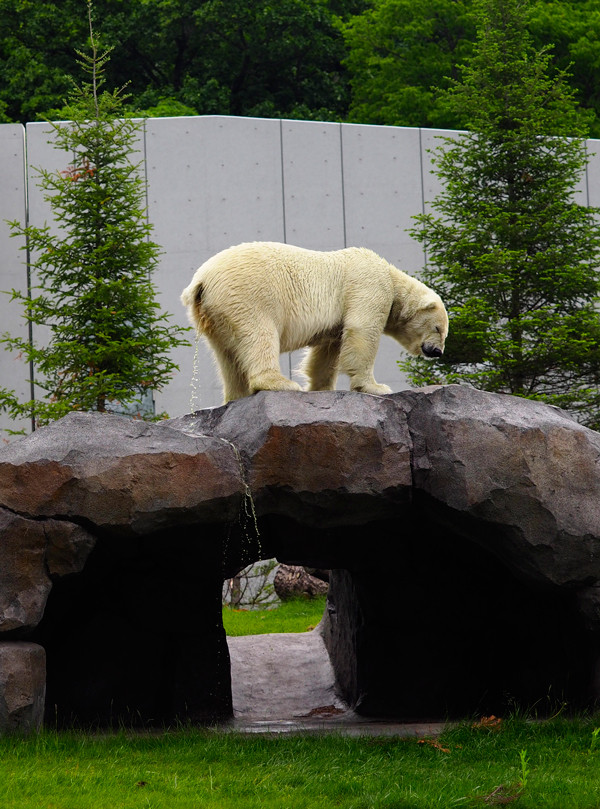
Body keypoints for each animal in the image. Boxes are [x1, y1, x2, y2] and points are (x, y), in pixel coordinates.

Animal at [180, 241, 448, 402]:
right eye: (438, 328)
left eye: (444, 333)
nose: (437, 351)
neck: (392, 278)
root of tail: (201, 281)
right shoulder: (368, 284)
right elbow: (362, 331)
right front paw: (376, 387)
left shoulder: (336, 322)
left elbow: (328, 351)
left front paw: (320, 388)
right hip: (247, 296)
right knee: (259, 336)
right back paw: (280, 383)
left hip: (214, 315)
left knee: (227, 356)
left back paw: (237, 395)